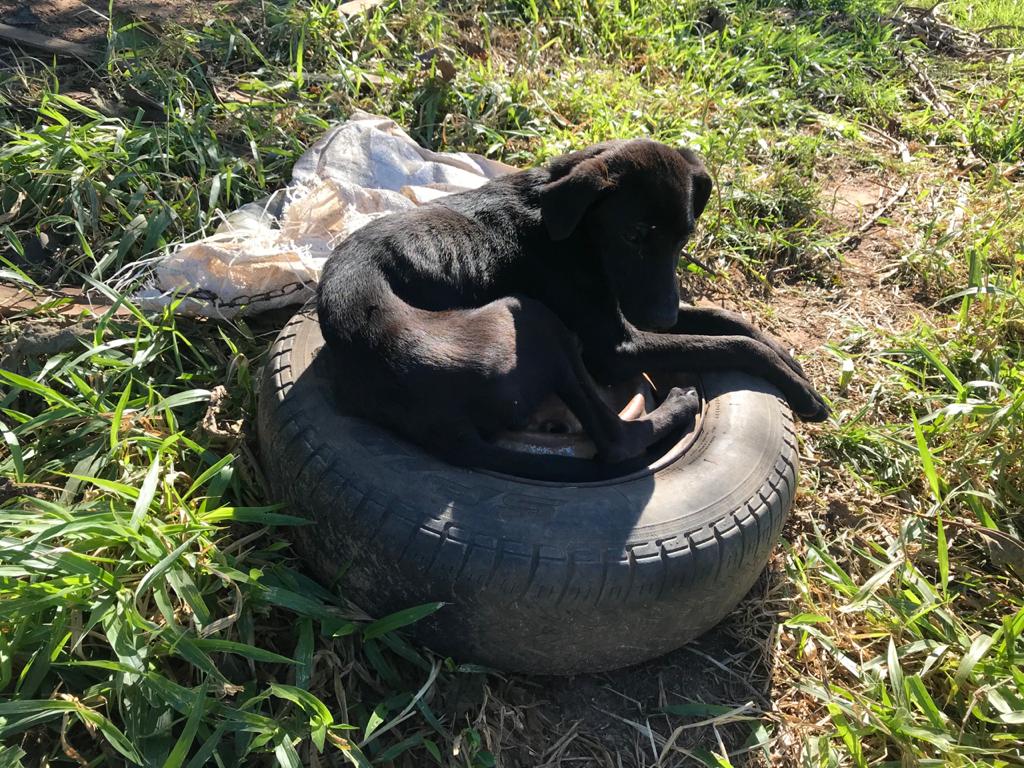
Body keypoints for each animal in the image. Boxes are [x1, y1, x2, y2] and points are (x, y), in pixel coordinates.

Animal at [319, 138, 831, 479]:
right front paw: (802, 392)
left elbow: (728, 321)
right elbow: (730, 345)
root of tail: (429, 420)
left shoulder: (627, 309)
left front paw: (788, 358)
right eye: (633, 235)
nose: (663, 317)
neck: (573, 230)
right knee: (617, 440)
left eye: (684, 237)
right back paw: (681, 403)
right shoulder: (617, 347)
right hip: (529, 318)